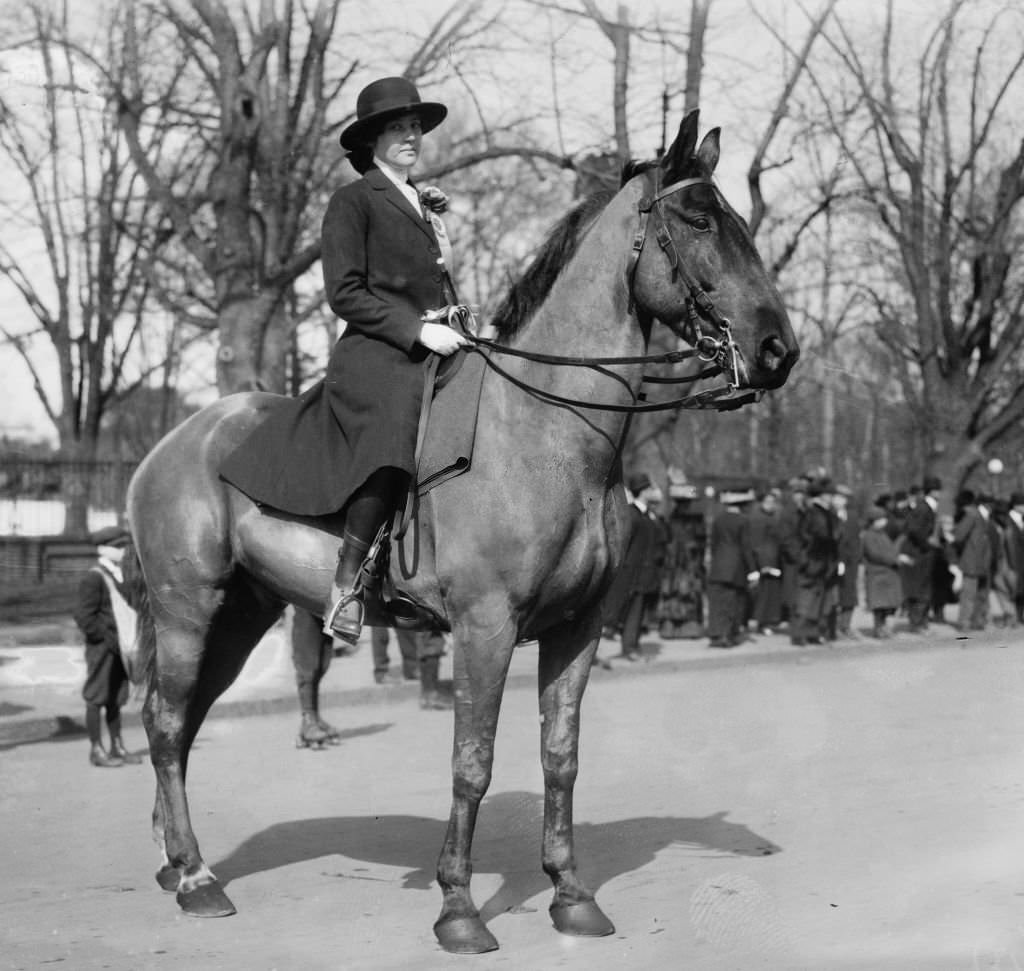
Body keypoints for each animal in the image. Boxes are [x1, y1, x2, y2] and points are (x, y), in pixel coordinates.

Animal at [125, 110, 798, 950]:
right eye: (701, 221)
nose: (779, 350)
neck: (547, 425)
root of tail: (170, 444)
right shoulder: (486, 628)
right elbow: (472, 762)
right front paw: (457, 907)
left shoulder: (580, 627)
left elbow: (560, 754)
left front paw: (570, 892)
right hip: (188, 611)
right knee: (163, 725)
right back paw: (194, 878)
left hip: (239, 616)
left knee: (180, 728)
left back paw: (173, 862)